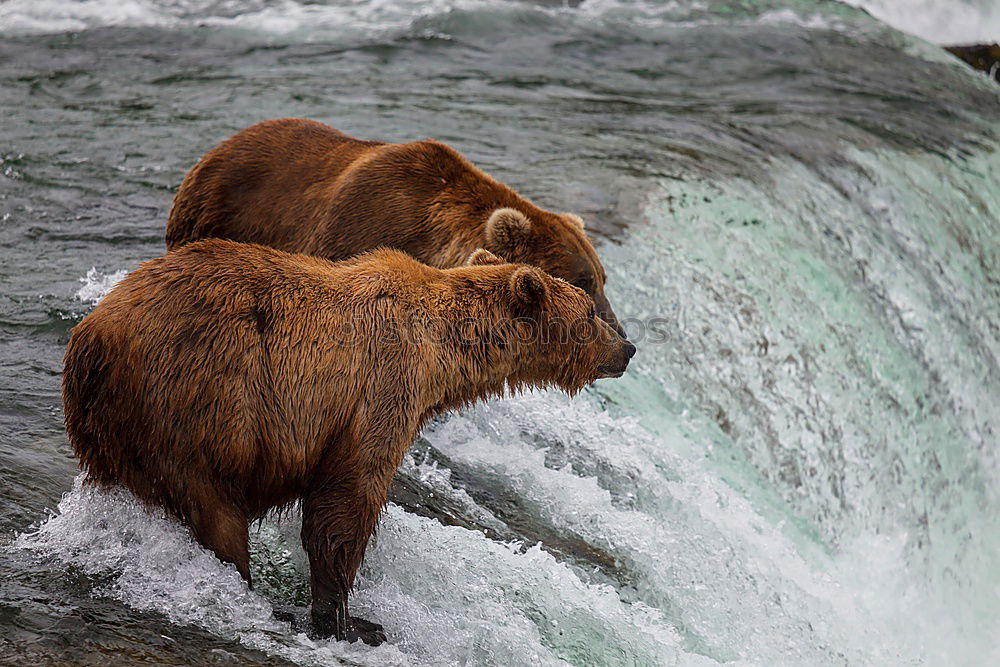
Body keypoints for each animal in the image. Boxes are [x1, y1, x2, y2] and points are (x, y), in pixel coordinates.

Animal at [62, 240, 636, 648]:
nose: (627, 348)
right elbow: (346, 501)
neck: (442, 353)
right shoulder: (379, 387)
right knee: (217, 513)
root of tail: (93, 337)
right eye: (589, 311)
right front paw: (348, 619)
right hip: (199, 405)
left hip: (110, 435)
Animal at [168, 116, 628, 340]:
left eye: (602, 278)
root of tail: (222, 144)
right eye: (582, 281)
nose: (621, 330)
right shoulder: (354, 231)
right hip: (211, 214)